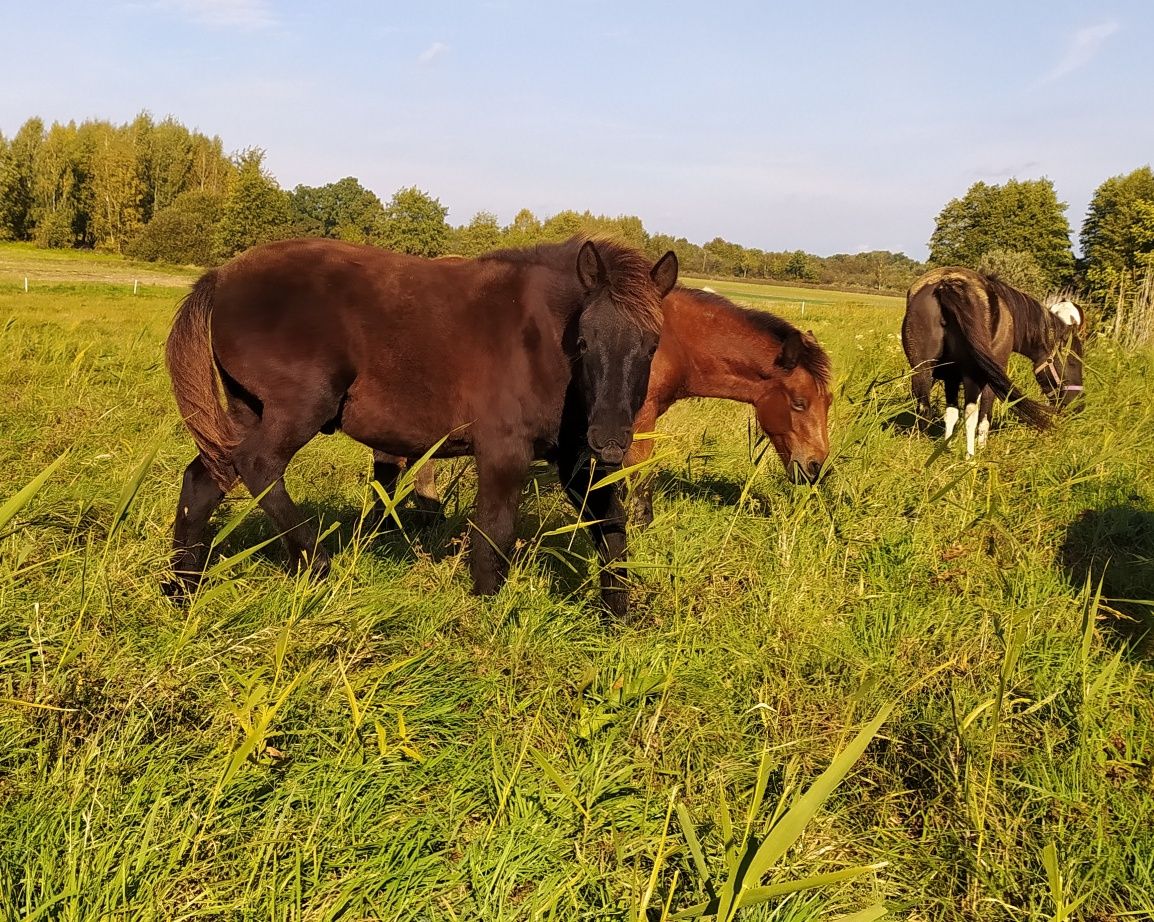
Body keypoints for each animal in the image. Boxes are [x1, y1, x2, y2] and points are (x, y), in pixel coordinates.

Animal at [167, 234, 678, 618]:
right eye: (585, 342)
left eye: (652, 345)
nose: (610, 440)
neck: (540, 339)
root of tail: (221, 276)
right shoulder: (504, 449)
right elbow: (494, 533)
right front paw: (486, 614)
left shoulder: (572, 458)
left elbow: (611, 527)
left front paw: (618, 616)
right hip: (298, 408)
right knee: (258, 465)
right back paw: (315, 564)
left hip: (247, 408)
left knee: (204, 479)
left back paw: (182, 588)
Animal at [373, 285, 835, 526]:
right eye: (799, 402)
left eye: (827, 401)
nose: (817, 467)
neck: (675, 339)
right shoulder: (640, 420)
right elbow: (641, 481)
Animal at [900, 265, 1080, 456]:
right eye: (1073, 362)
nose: (1078, 404)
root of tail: (946, 285)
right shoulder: (990, 378)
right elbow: (983, 417)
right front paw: (980, 449)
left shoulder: (951, 377)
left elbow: (951, 413)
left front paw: (946, 446)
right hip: (972, 375)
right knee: (970, 412)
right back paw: (970, 455)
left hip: (922, 369)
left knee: (923, 407)